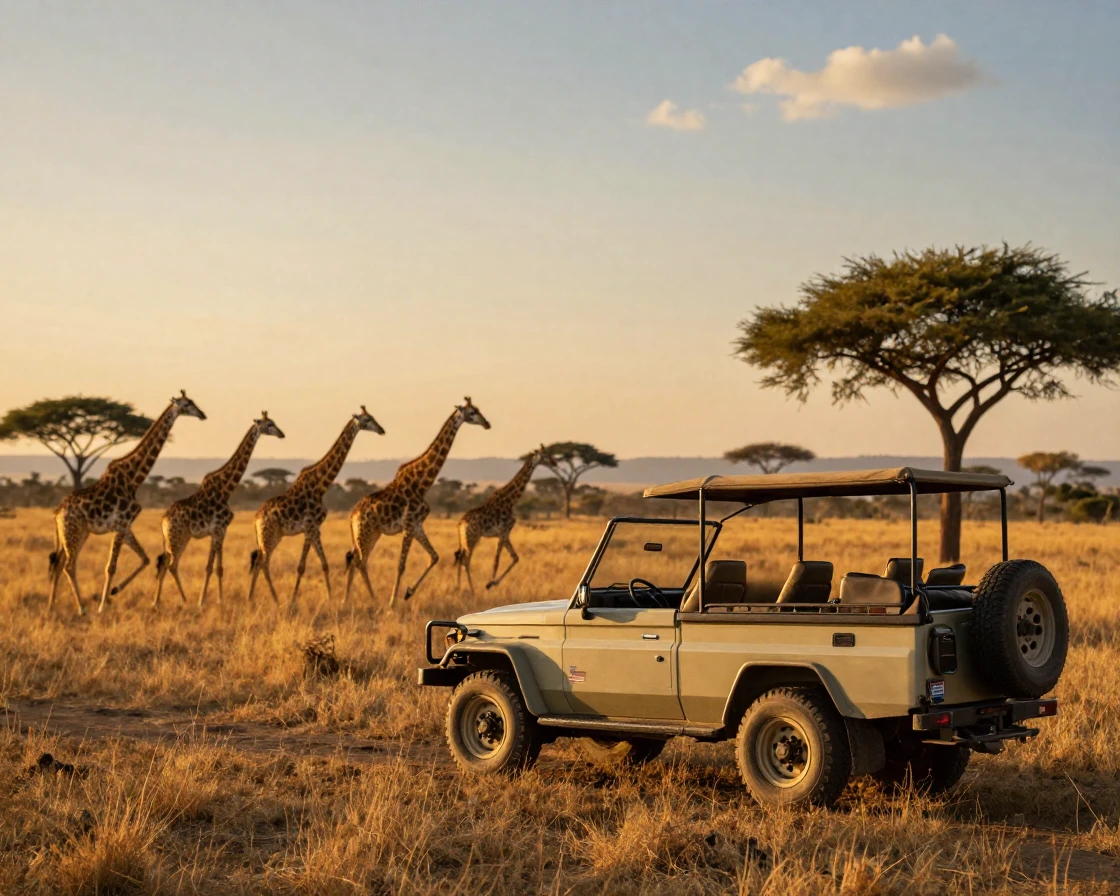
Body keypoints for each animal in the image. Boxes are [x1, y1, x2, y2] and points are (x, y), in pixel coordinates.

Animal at [47, 391, 207, 615]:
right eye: (187, 404)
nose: (202, 414)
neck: (134, 479)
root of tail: (57, 512)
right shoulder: (122, 524)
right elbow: (111, 567)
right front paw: (102, 606)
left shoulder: (125, 526)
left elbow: (145, 559)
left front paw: (113, 593)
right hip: (72, 531)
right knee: (68, 565)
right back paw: (81, 608)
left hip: (76, 532)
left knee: (60, 562)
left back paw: (51, 606)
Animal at [152, 412, 286, 609]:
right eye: (269, 424)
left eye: (274, 422)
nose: (282, 434)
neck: (226, 489)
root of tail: (162, 519)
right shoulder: (218, 530)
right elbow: (210, 567)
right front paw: (202, 602)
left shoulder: (220, 531)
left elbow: (218, 568)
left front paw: (219, 600)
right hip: (178, 537)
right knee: (171, 565)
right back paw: (182, 600)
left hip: (173, 538)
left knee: (165, 564)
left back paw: (157, 602)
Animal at [248, 407, 384, 605]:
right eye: (367, 420)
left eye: (373, 417)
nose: (382, 430)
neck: (321, 486)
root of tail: (255, 519)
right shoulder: (309, 527)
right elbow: (301, 567)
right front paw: (293, 601)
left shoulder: (316, 529)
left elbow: (325, 564)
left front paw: (330, 598)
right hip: (269, 535)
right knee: (262, 562)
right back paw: (267, 599)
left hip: (271, 536)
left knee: (259, 561)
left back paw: (251, 599)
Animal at [344, 397, 491, 606]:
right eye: (472, 413)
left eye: (478, 409)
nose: (487, 423)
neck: (423, 483)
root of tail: (352, 516)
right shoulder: (408, 525)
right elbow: (401, 565)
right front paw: (392, 604)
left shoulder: (417, 525)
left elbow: (435, 556)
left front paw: (408, 592)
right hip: (364, 532)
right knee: (359, 562)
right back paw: (373, 601)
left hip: (372, 533)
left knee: (357, 560)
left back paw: (347, 601)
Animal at [453, 445, 555, 594]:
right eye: (545, 455)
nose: (554, 463)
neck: (511, 500)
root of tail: (460, 524)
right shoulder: (503, 532)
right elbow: (497, 561)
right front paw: (490, 584)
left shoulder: (504, 534)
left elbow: (514, 558)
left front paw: (492, 583)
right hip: (472, 537)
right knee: (465, 560)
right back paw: (472, 591)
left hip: (465, 539)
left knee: (460, 557)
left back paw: (459, 588)